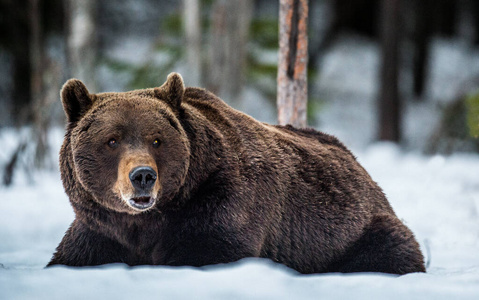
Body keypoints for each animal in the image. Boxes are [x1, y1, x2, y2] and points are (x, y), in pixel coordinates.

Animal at [47, 72, 426, 274]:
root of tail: (361, 165)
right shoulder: (101, 230)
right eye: (112, 140)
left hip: (355, 230)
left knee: (392, 247)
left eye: (156, 139)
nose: (142, 176)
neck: (146, 223)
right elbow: (71, 257)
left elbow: (209, 252)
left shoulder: (222, 205)